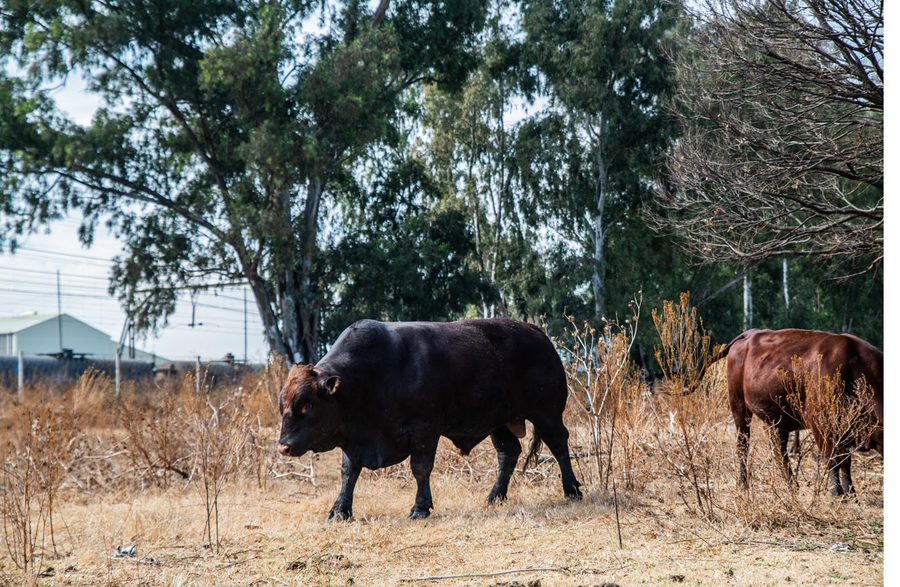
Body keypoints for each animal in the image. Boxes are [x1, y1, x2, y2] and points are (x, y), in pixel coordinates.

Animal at [277, 318, 583, 520]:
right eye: (284, 405)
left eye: (307, 404)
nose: (284, 445)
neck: (370, 377)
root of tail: (537, 334)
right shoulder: (354, 440)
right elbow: (348, 473)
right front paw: (340, 510)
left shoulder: (424, 431)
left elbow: (420, 469)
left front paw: (420, 508)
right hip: (500, 422)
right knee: (508, 454)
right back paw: (495, 496)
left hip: (547, 414)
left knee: (559, 446)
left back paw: (572, 490)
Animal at [703, 329, 883, 497]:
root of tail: (750, 333)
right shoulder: (821, 425)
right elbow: (833, 460)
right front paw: (837, 494)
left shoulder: (844, 430)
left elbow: (846, 462)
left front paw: (851, 495)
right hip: (739, 406)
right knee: (743, 445)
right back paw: (744, 485)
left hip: (776, 421)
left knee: (780, 452)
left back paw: (792, 486)